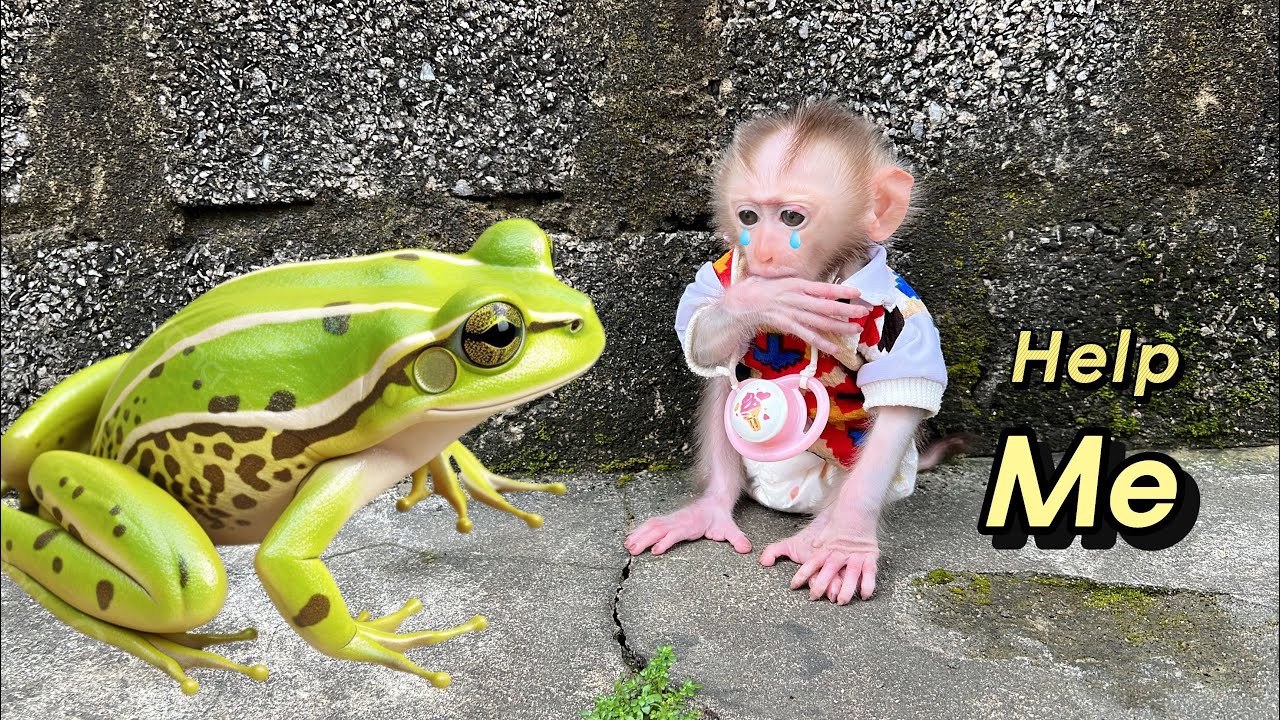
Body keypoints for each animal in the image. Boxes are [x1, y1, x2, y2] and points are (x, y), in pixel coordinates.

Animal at [624, 100, 949, 605]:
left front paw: (847, 543)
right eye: (749, 217)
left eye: (792, 219)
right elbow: (698, 328)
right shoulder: (721, 268)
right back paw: (713, 505)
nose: (762, 250)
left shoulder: (902, 313)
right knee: (724, 371)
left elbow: (900, 400)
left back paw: (821, 534)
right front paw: (761, 301)